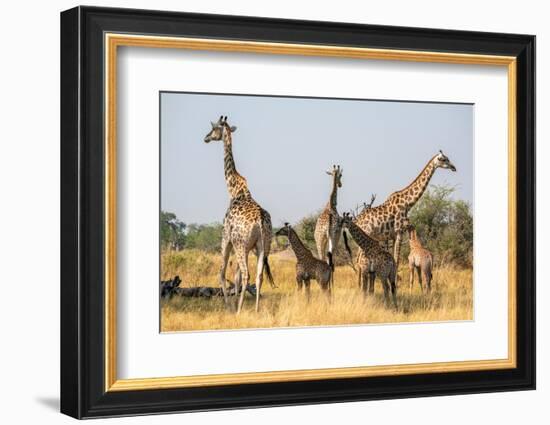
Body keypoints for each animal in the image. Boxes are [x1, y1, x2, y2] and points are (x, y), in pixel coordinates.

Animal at [205, 115, 276, 312]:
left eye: (214, 128)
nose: (205, 138)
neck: (235, 190)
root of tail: (260, 220)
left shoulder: (226, 237)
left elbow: (223, 273)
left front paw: (230, 306)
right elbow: (235, 277)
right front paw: (237, 303)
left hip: (239, 244)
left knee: (244, 275)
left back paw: (237, 310)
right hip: (263, 246)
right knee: (258, 277)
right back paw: (256, 309)